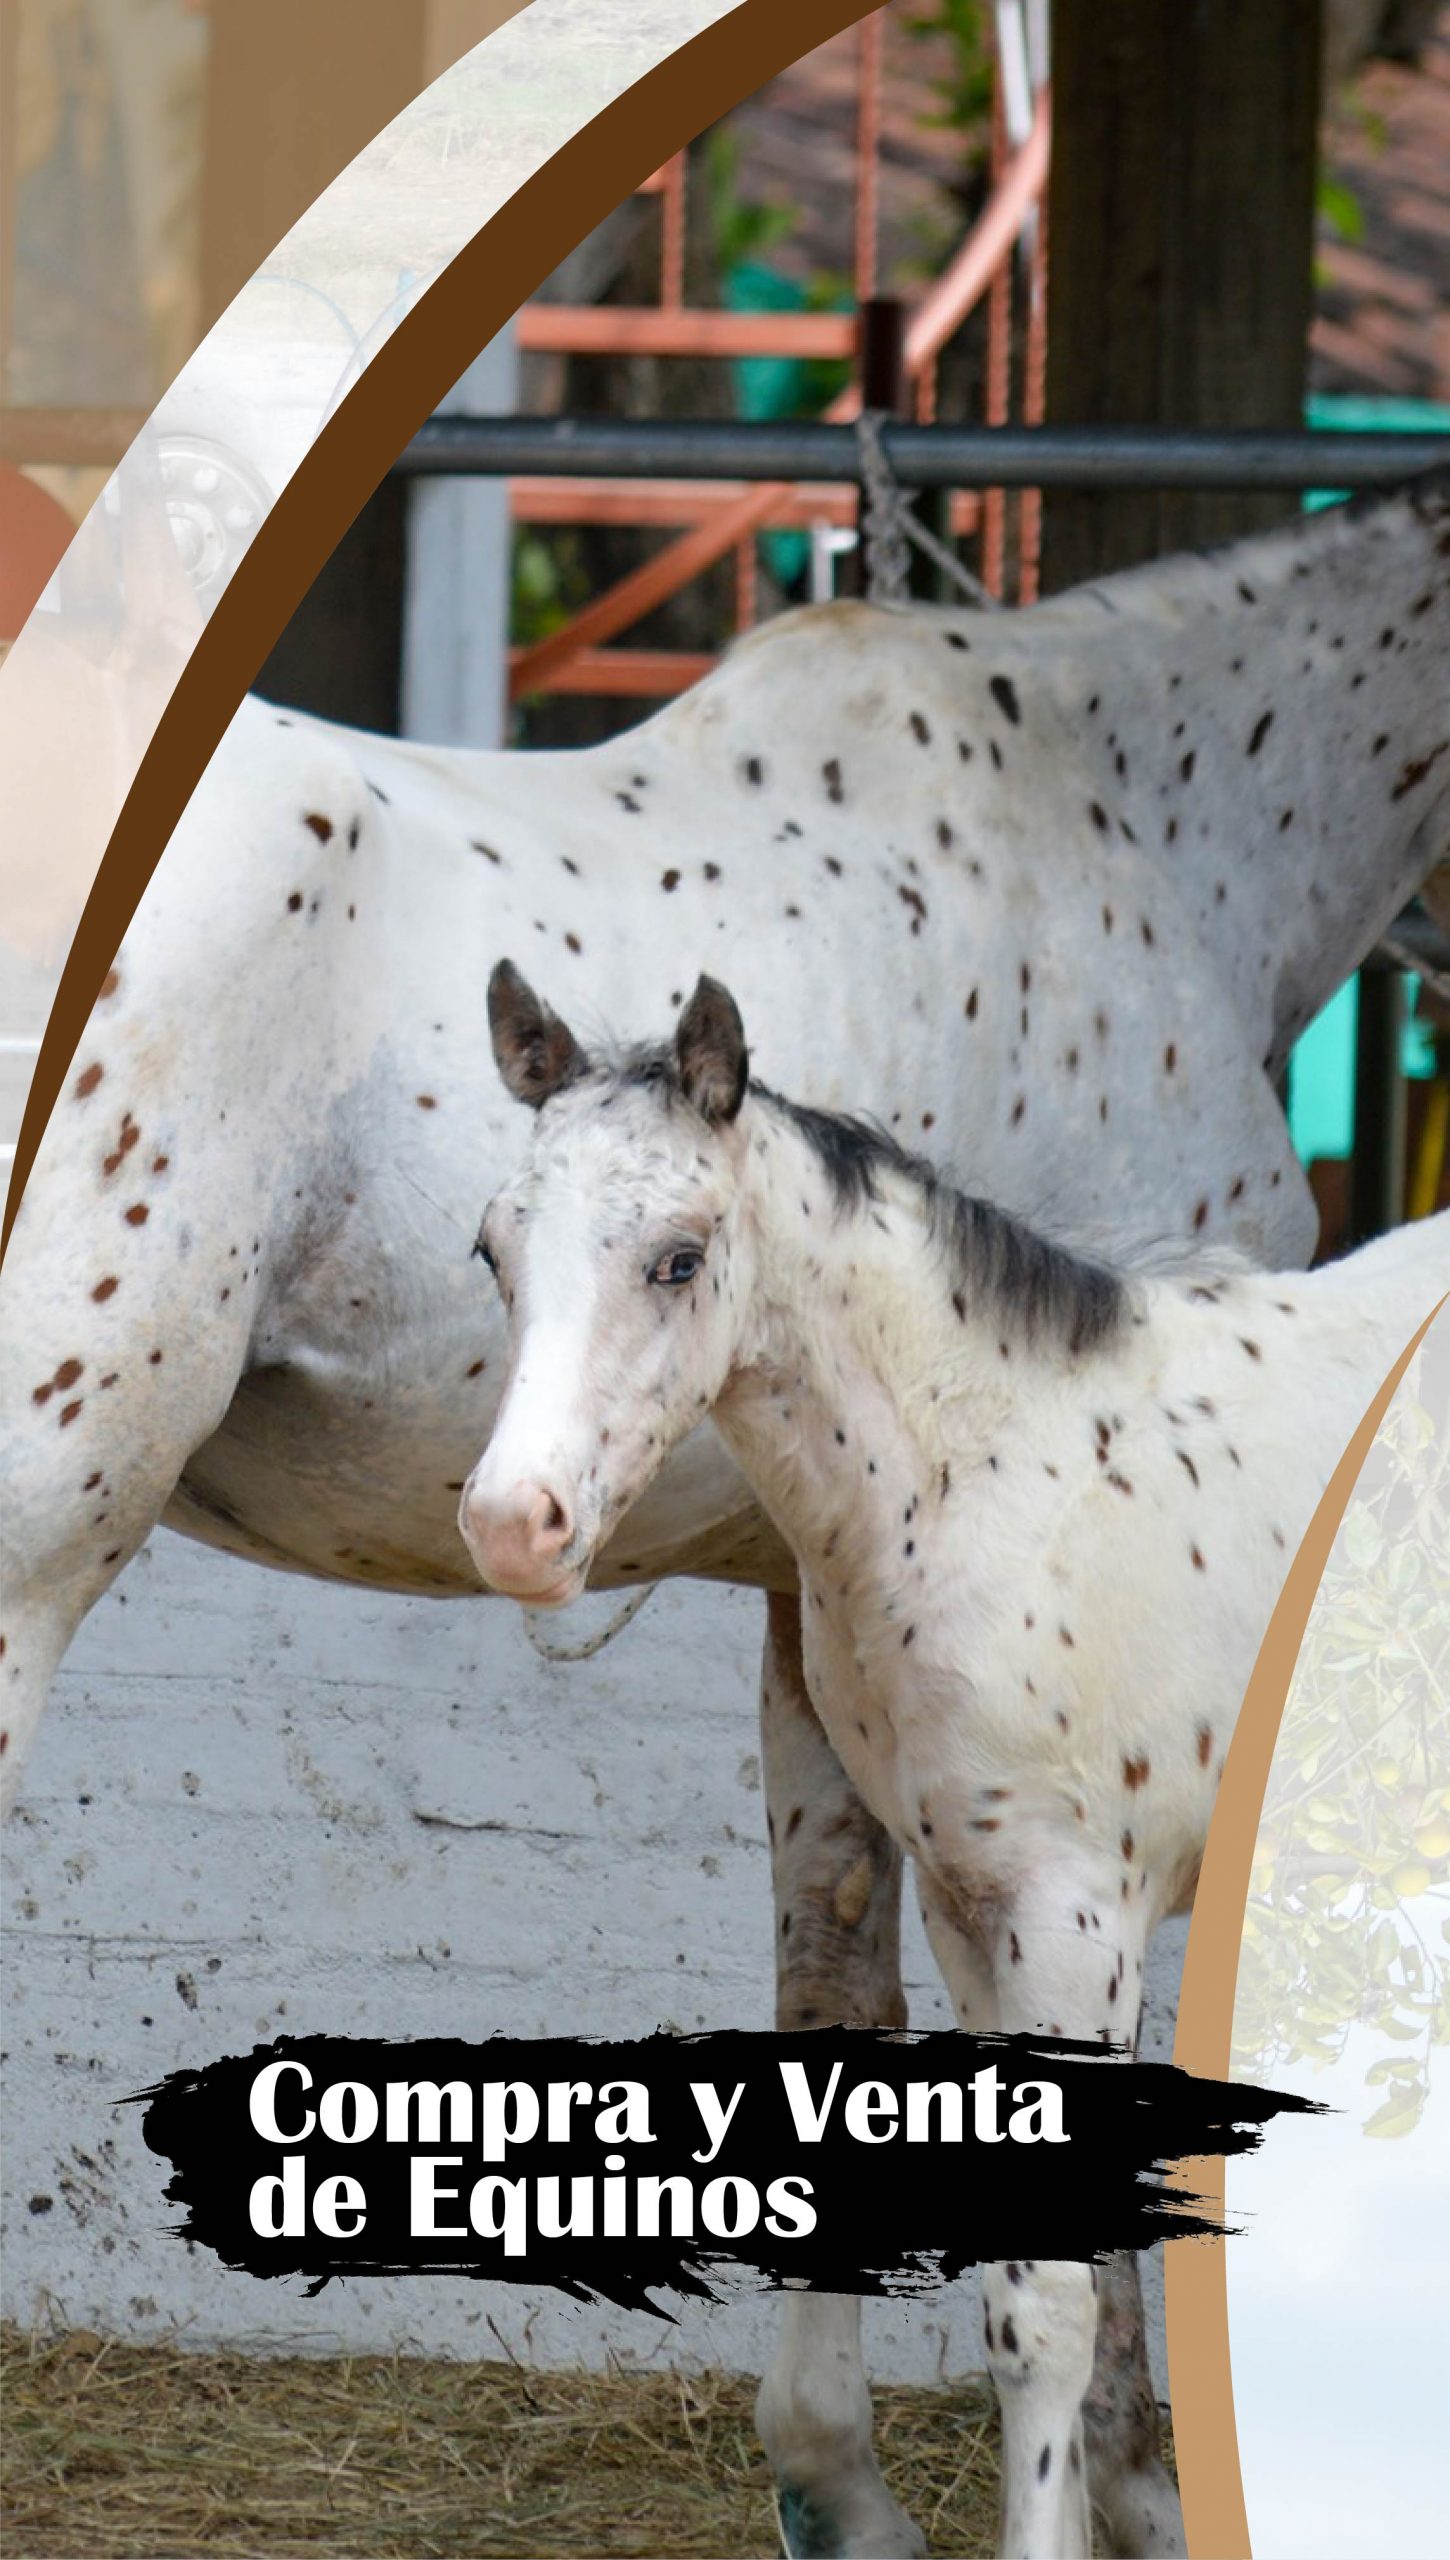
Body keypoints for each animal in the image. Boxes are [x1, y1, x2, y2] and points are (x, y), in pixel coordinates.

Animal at [461, 958, 1449, 2559]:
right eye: (492, 1250)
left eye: (678, 1259)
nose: (512, 1525)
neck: (984, 1477)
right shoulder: (966, 1906)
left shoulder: (1073, 1911)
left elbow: (1041, 2304)